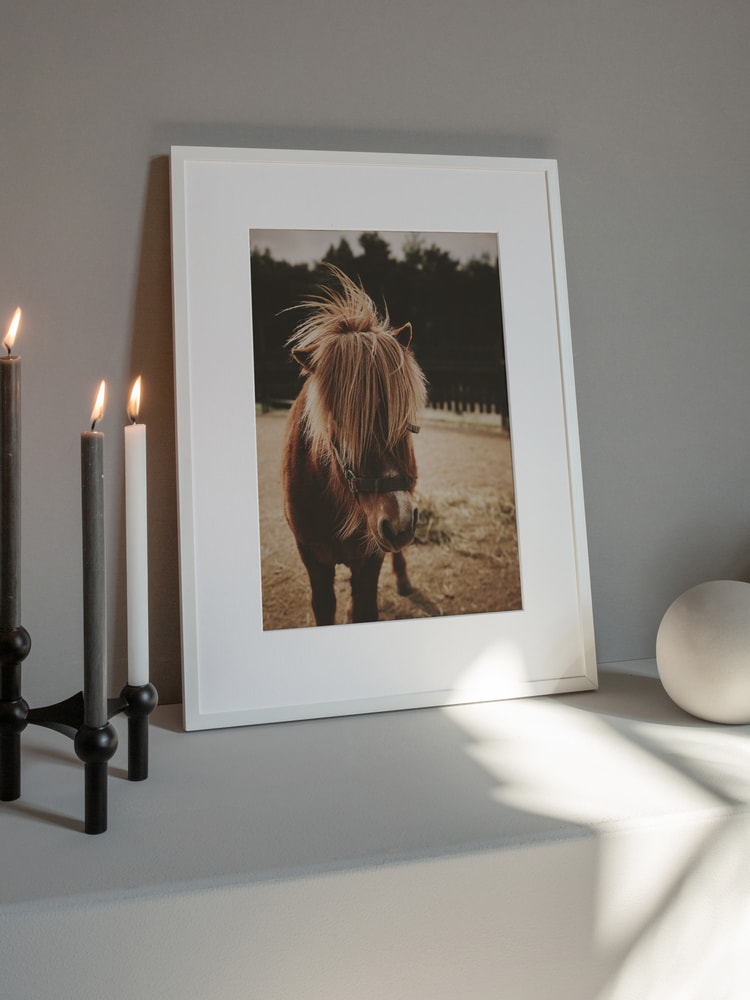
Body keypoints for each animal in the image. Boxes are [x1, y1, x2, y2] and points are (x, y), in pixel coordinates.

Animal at [282, 266, 427, 626]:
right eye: (341, 423)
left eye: (404, 417)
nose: (398, 522)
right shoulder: (313, 559)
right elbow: (325, 606)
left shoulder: (371, 557)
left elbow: (367, 607)